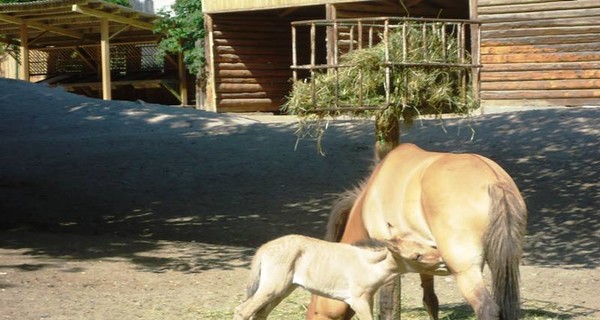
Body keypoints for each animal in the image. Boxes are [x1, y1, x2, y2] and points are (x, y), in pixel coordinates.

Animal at [232, 234, 442, 318]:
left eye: (427, 245)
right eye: (416, 256)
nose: (442, 258)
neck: (367, 265)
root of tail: (264, 248)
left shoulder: (367, 299)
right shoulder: (358, 300)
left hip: (283, 289)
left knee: (260, 313)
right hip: (272, 287)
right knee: (242, 310)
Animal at [308, 144, 528, 320]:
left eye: (315, 306)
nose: (310, 314)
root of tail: (494, 181)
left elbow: (388, 303)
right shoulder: (424, 261)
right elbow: (430, 301)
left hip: (466, 271)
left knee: (487, 308)